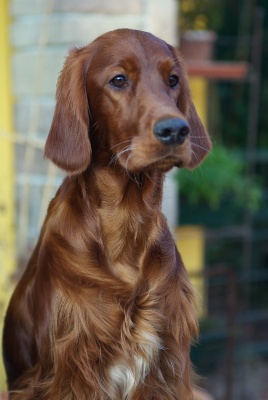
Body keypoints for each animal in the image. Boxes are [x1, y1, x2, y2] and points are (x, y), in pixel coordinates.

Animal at [3, 29, 210, 398]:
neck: (126, 219)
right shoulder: (70, 371)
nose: (175, 129)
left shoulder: (166, 368)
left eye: (172, 80)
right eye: (118, 80)